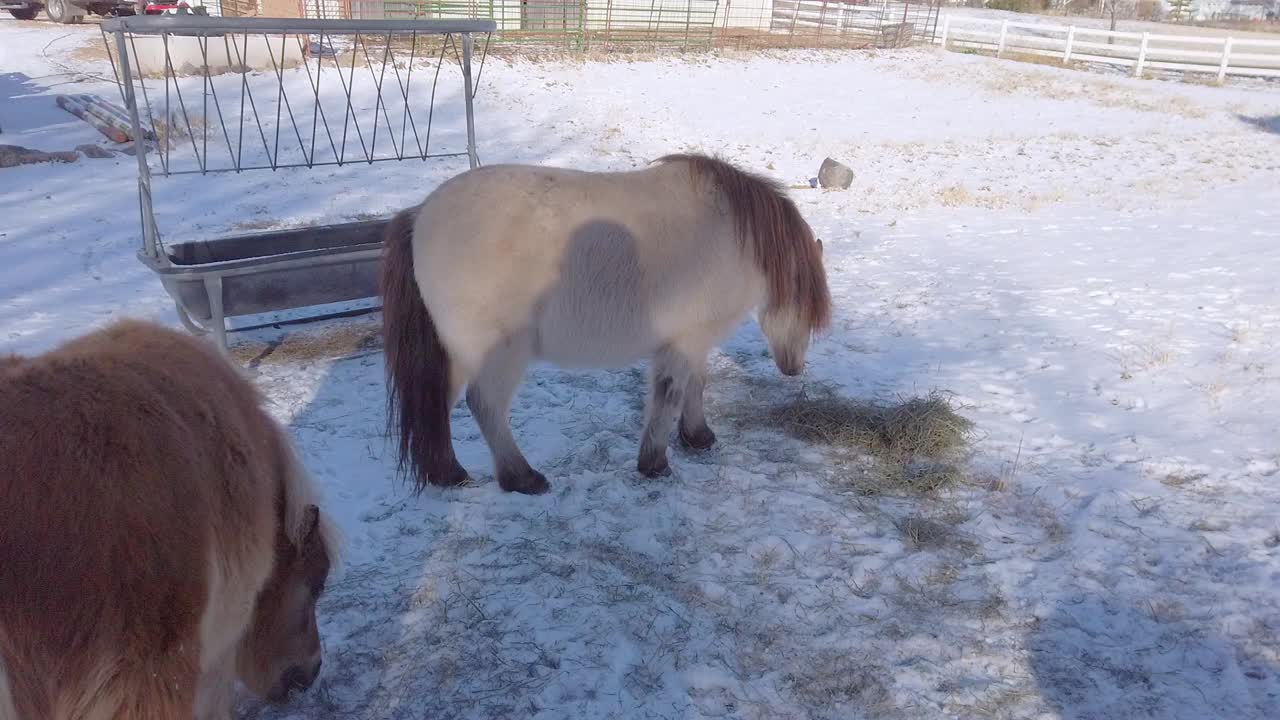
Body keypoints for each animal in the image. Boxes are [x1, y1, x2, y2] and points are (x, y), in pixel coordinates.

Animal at [381, 153, 832, 495]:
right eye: (804, 306)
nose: (794, 368)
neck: (729, 235)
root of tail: (421, 215)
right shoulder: (683, 342)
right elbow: (670, 396)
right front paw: (655, 463)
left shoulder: (693, 339)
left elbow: (695, 386)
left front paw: (698, 437)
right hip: (500, 352)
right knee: (485, 405)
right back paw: (522, 478)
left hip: (456, 355)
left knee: (438, 403)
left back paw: (449, 474)